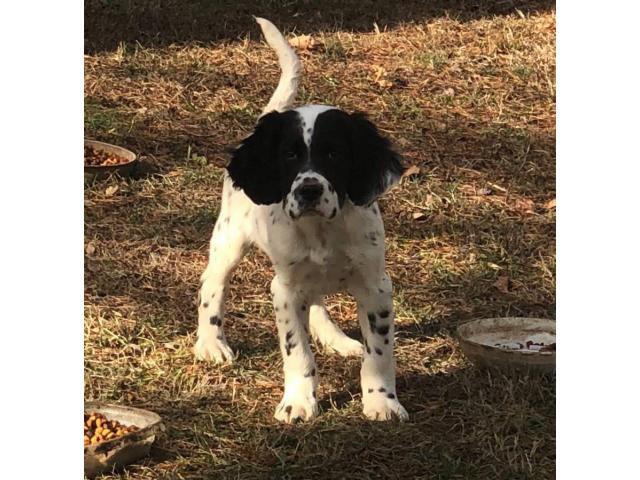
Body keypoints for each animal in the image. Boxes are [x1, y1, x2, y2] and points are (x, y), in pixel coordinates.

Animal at [192, 17, 408, 424]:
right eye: (289, 155)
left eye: (335, 154)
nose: (308, 190)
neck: (321, 231)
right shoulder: (285, 291)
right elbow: (298, 352)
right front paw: (298, 401)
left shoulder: (375, 286)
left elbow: (379, 352)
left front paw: (381, 401)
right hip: (229, 239)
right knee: (212, 285)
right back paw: (211, 343)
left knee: (319, 301)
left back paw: (336, 338)